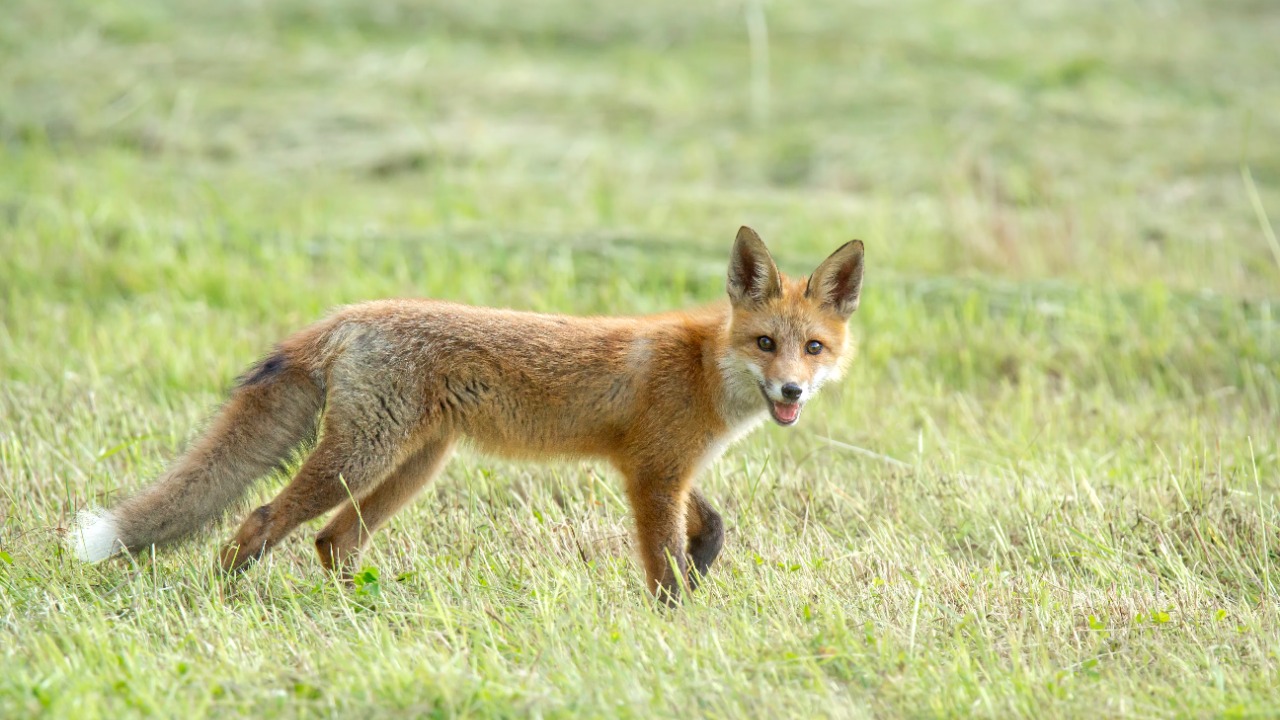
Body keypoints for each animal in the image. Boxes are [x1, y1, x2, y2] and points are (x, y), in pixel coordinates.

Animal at [71, 226, 864, 604]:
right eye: (765, 344)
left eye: (813, 348)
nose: (790, 393)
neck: (703, 369)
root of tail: (345, 317)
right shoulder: (652, 476)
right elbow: (663, 567)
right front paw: (676, 622)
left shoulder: (659, 467)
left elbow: (713, 527)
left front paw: (701, 569)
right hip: (360, 459)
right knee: (263, 520)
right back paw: (221, 598)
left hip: (412, 467)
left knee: (333, 541)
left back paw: (363, 615)